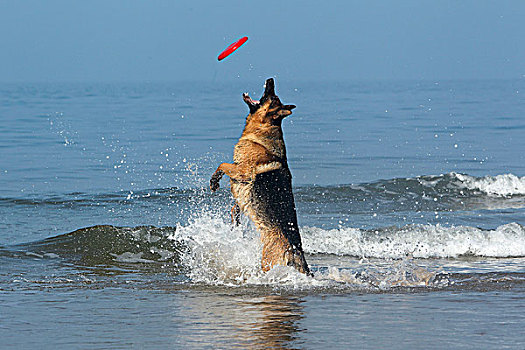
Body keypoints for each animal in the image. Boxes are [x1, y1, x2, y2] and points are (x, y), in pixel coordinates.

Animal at [210, 78, 310, 274]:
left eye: (272, 96)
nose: (270, 79)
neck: (262, 131)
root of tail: (296, 252)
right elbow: (236, 206)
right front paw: (235, 220)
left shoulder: (242, 171)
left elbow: (222, 164)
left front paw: (214, 181)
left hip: (266, 261)